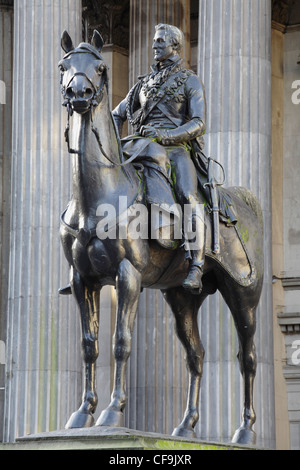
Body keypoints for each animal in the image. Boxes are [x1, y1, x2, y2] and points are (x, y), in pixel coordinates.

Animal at [58, 31, 262, 446]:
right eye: (63, 66)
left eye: (99, 67)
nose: (79, 95)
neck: (97, 199)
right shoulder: (82, 280)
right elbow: (89, 345)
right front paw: (82, 413)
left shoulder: (128, 276)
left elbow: (121, 342)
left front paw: (111, 412)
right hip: (182, 296)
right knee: (196, 356)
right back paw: (186, 425)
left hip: (244, 296)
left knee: (247, 358)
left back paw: (245, 431)